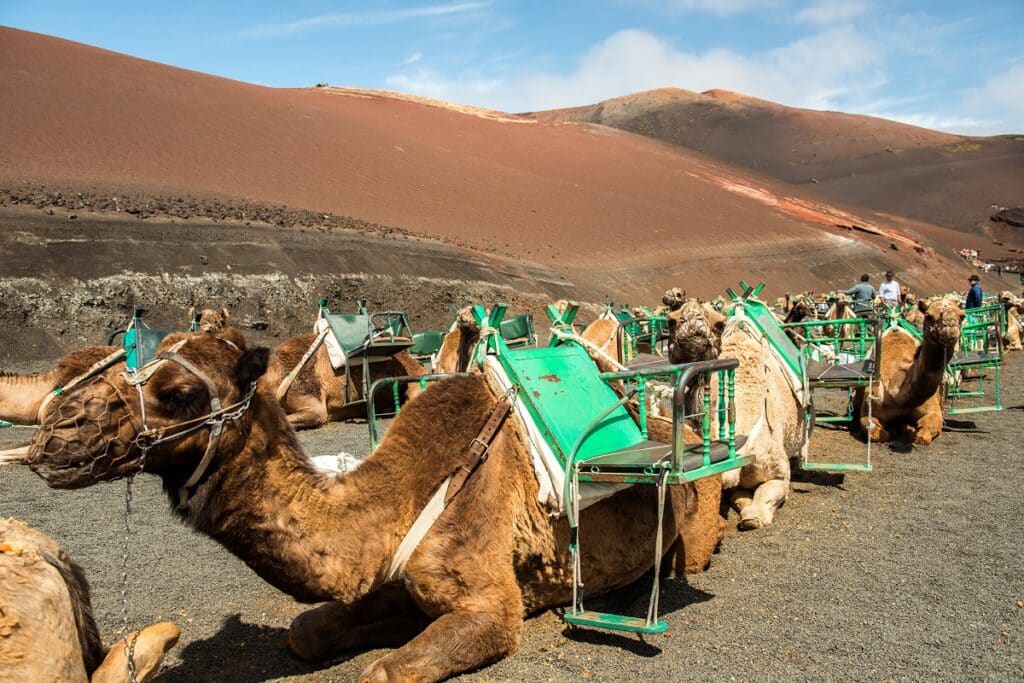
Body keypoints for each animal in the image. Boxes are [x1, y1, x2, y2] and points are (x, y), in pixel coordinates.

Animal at [28, 329, 724, 679]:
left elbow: (384, 672)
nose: (55, 434)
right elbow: (307, 631)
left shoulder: (491, 604)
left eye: (176, 392)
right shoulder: (393, 575)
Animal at [860, 296, 962, 446]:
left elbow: (923, 436)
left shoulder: (934, 412)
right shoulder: (870, 409)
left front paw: (910, 429)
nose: (950, 331)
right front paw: (896, 429)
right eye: (929, 316)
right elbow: (879, 434)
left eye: (962, 315)